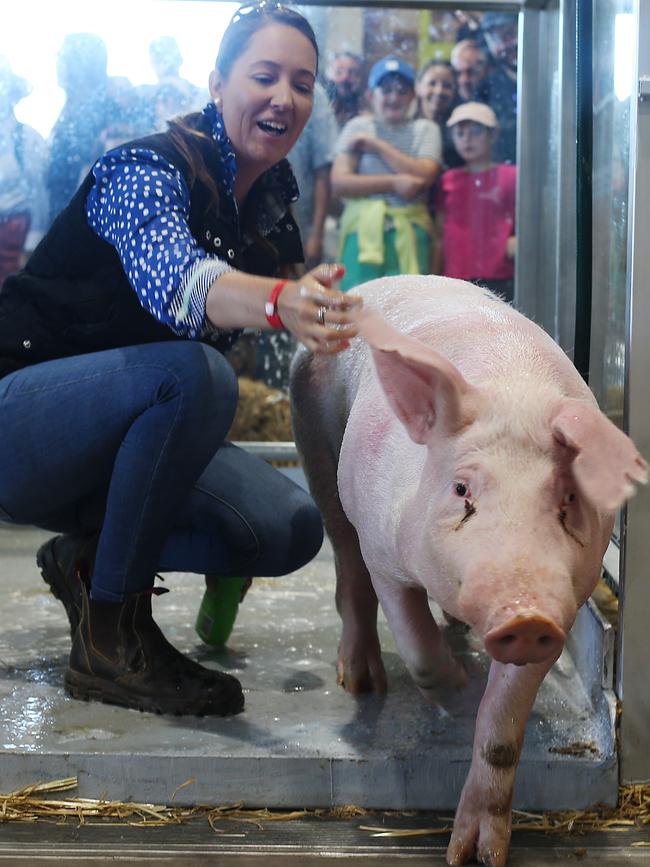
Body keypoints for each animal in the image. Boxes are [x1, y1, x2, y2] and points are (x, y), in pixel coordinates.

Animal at [292, 276, 644, 867]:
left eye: (569, 498)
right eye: (461, 489)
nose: (525, 614)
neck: (513, 391)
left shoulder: (566, 601)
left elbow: (502, 733)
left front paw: (475, 854)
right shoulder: (385, 551)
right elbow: (415, 644)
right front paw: (457, 692)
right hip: (319, 453)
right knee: (347, 565)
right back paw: (362, 681)